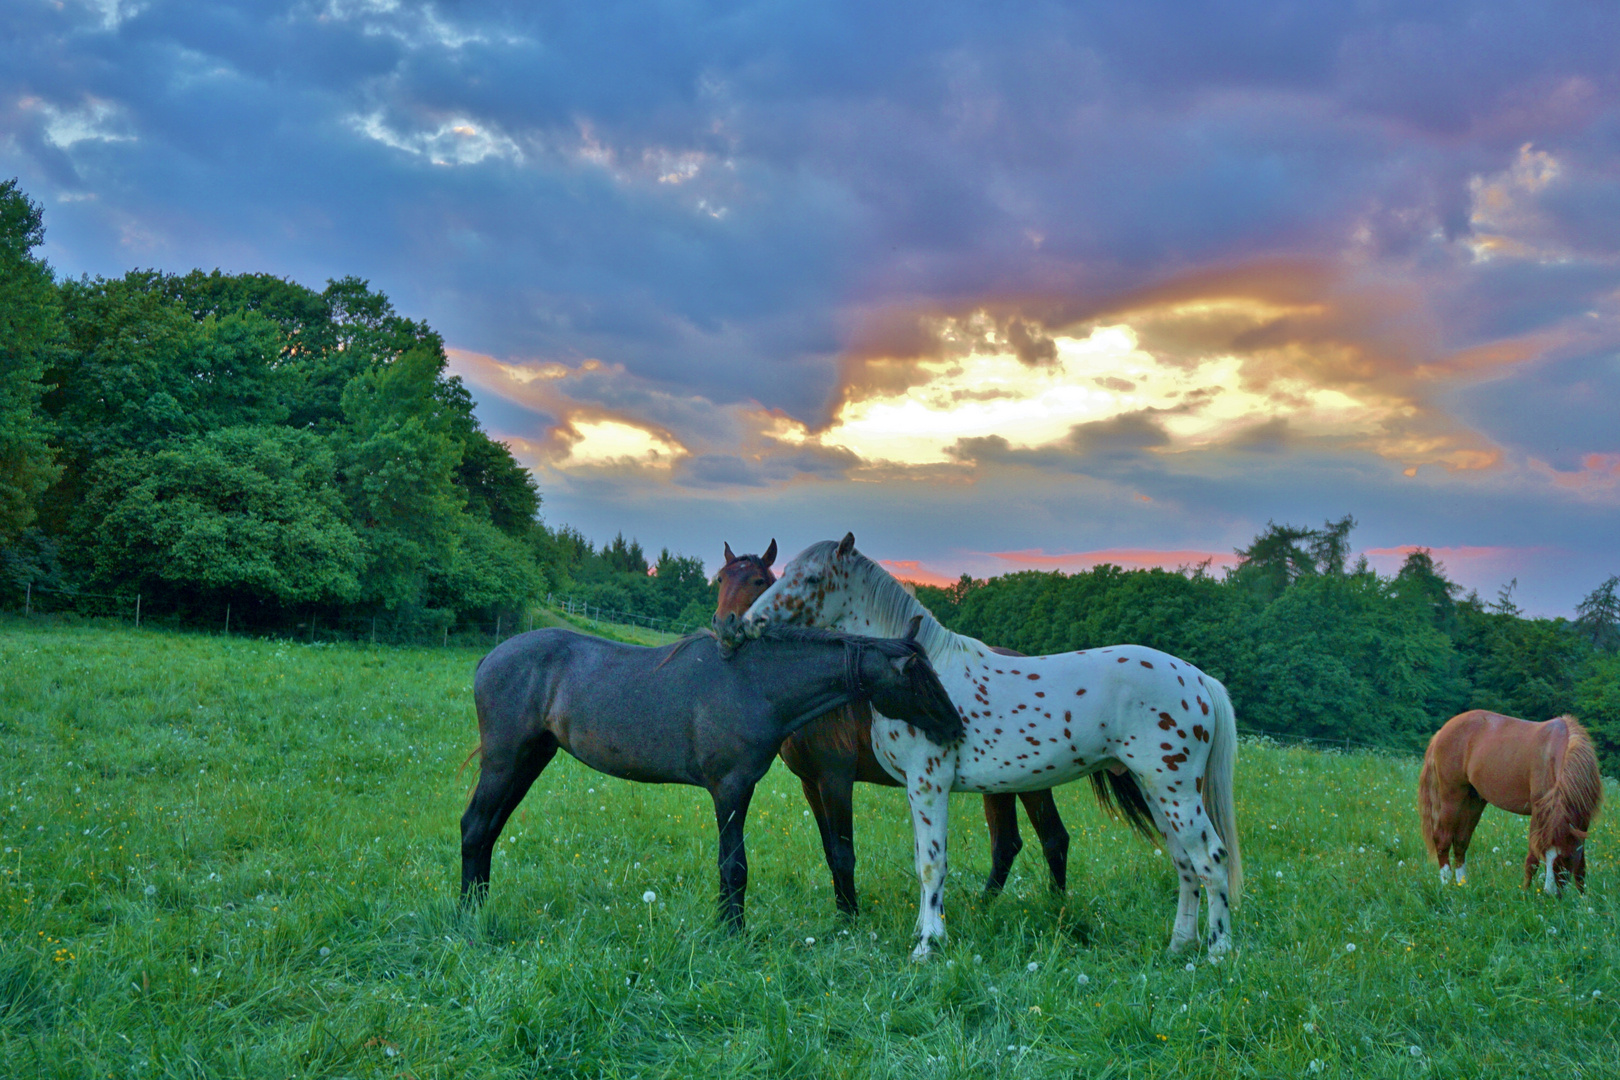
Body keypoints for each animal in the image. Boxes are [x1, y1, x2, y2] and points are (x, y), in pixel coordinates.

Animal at [456, 615, 959, 932]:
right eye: (920, 680)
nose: (955, 725)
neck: (755, 685)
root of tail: (487, 659)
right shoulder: (731, 788)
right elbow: (734, 866)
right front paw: (732, 933)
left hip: (529, 759)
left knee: (490, 830)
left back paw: (479, 907)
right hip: (504, 761)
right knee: (475, 826)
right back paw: (466, 915)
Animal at [741, 537, 1237, 958]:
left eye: (810, 578)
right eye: (781, 572)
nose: (749, 623)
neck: (923, 670)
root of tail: (1200, 679)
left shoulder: (928, 784)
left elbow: (932, 866)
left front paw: (928, 946)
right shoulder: (913, 790)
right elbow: (923, 861)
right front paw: (924, 935)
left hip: (1175, 790)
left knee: (1211, 859)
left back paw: (1216, 953)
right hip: (1154, 790)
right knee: (1185, 863)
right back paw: (1179, 946)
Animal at [1425, 709, 1600, 893]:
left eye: (1566, 858)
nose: (1550, 894)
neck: (1557, 751)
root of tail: (1442, 731)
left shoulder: (1581, 821)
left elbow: (1581, 865)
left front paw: (1582, 896)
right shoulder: (1539, 811)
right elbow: (1532, 859)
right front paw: (1525, 892)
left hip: (1473, 800)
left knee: (1461, 841)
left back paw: (1463, 885)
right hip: (1452, 797)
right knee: (1443, 839)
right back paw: (1446, 885)